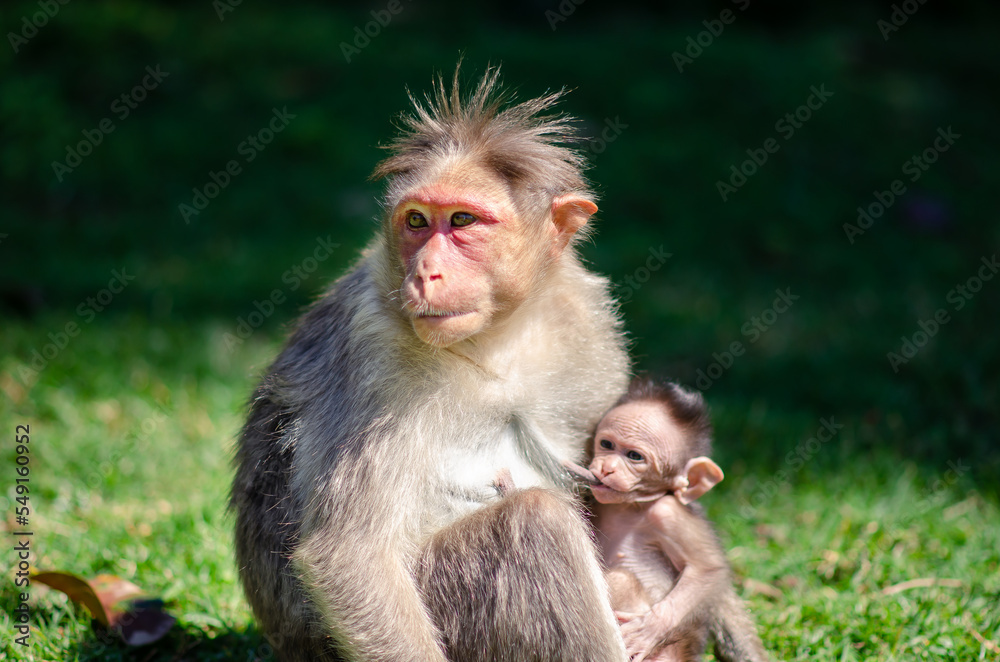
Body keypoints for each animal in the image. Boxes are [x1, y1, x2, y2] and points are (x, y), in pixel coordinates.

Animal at [230, 68, 628, 662]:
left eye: (462, 220)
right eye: (417, 221)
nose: (426, 272)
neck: (493, 344)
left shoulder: (591, 330)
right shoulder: (376, 362)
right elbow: (350, 556)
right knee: (537, 523)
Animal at [584, 378, 764, 662]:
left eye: (634, 456)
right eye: (606, 444)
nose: (606, 468)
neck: (630, 506)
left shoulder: (668, 513)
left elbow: (709, 570)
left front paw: (651, 627)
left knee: (621, 581)